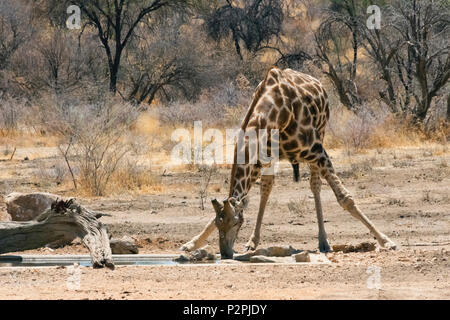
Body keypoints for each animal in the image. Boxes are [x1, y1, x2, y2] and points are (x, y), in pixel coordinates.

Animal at [180, 66, 398, 258]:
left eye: (237, 222)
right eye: (219, 224)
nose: (225, 253)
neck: (277, 112)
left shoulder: (318, 151)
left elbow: (345, 198)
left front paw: (385, 240)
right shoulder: (259, 159)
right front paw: (191, 243)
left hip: (321, 136)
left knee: (315, 185)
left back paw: (324, 241)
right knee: (266, 189)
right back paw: (253, 241)